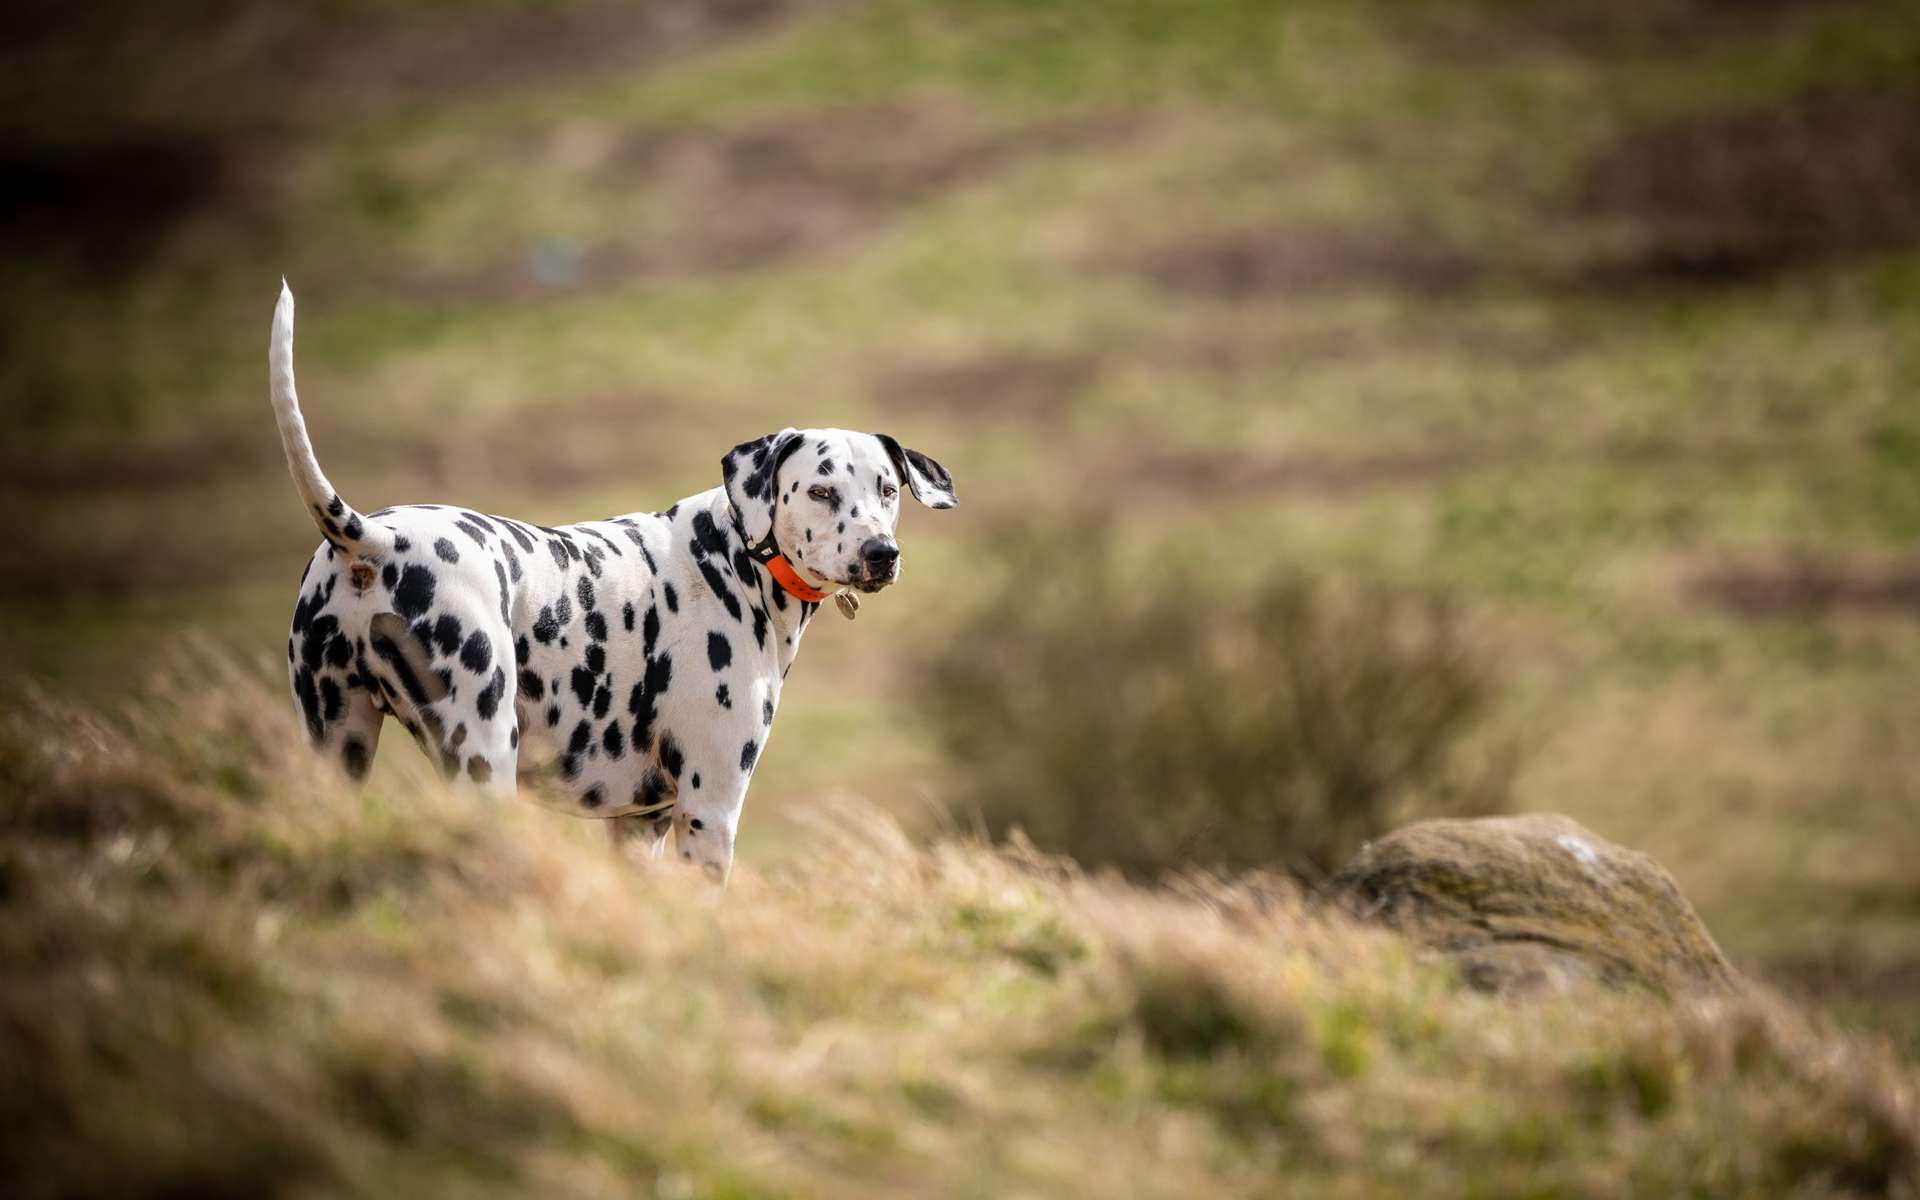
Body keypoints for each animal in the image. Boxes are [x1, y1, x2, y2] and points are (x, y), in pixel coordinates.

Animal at [266, 280, 956, 879]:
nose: (880, 553)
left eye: (888, 490)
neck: (736, 558)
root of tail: (372, 540)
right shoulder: (709, 811)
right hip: (481, 757)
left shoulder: (639, 824)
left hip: (337, 749)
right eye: (820, 490)